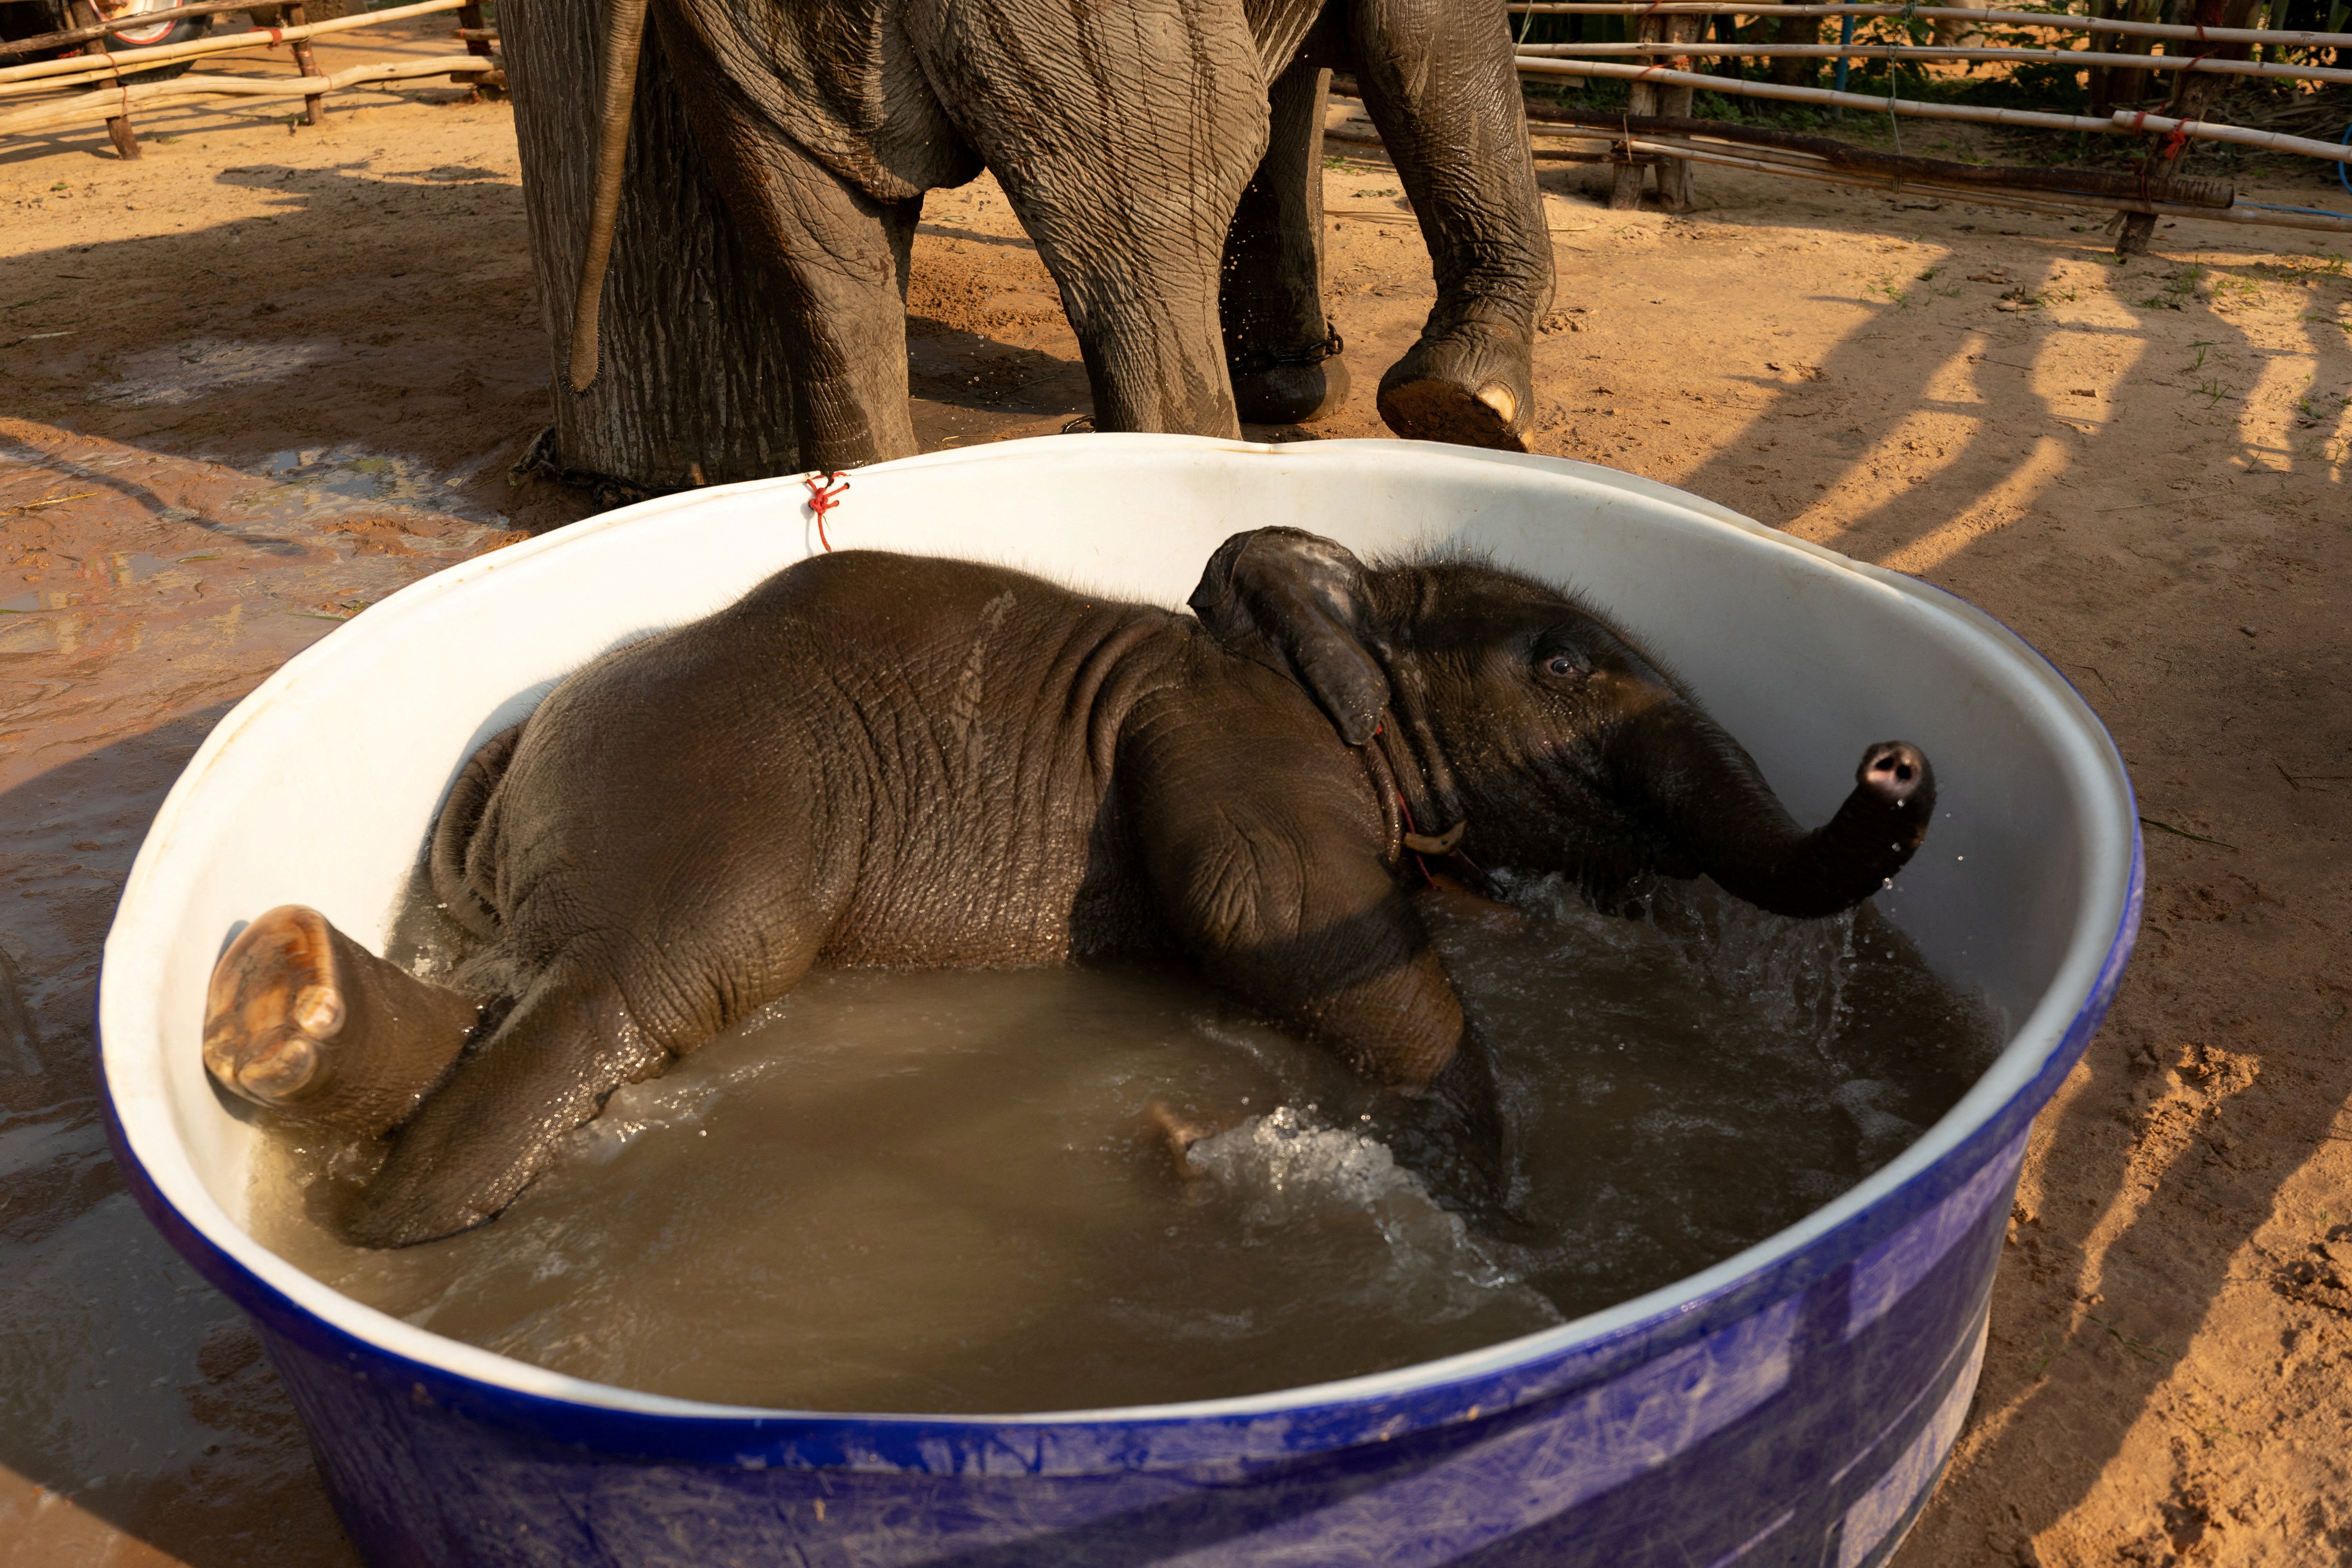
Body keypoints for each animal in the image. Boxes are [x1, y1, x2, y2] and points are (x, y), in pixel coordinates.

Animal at [207, 534, 1929, 1241]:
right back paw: (393, 1242)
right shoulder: (1238, 748)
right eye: (1563, 664)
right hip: (717, 802)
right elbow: (1269, 920)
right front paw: (1490, 1210)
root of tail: (520, 742)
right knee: (646, 981)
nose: (1899, 763)